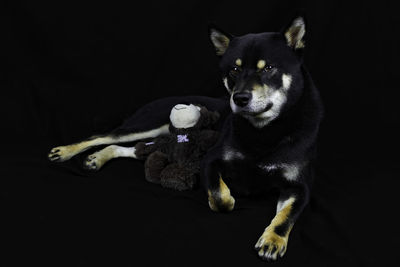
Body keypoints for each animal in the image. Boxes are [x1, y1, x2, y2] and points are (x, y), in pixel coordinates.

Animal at [47, 16, 322, 262]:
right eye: (234, 70)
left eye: (268, 68)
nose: (240, 98)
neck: (264, 129)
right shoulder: (210, 160)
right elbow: (220, 195)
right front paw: (218, 199)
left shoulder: (299, 187)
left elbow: (286, 215)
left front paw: (272, 241)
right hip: (147, 124)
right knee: (102, 136)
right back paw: (66, 151)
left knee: (127, 148)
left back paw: (96, 158)